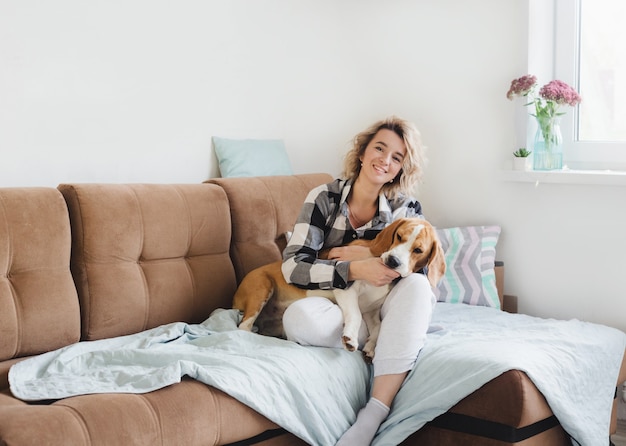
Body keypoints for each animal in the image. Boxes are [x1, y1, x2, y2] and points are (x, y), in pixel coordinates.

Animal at [233, 218, 444, 360]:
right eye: (399, 237)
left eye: (418, 250)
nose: (393, 261)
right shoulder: (346, 289)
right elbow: (355, 315)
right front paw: (350, 338)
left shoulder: (371, 310)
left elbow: (378, 328)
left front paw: (370, 347)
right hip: (262, 287)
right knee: (243, 327)